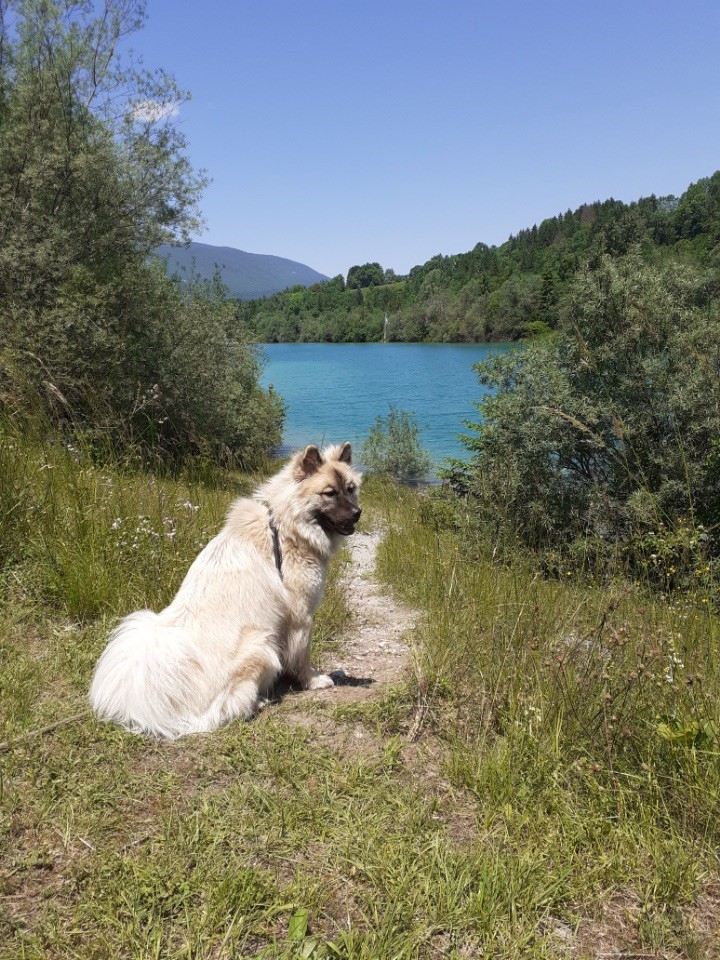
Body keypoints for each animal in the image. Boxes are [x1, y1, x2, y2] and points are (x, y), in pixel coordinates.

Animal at [88, 438, 362, 740]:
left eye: (351, 489)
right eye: (329, 493)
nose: (357, 514)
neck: (284, 527)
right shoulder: (301, 617)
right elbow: (302, 657)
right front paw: (313, 680)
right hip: (260, 645)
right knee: (227, 705)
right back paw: (257, 701)